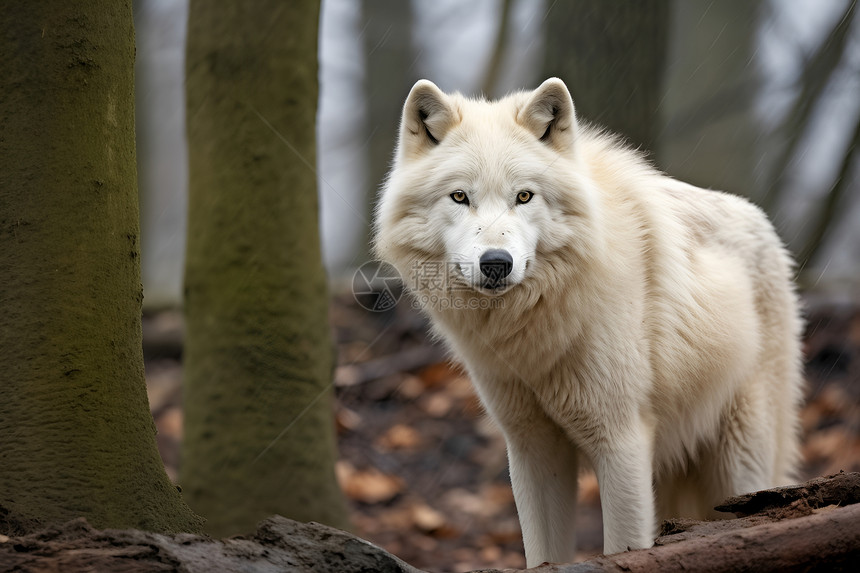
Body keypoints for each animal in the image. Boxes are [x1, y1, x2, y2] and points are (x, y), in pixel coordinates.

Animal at [372, 78, 804, 564]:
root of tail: (765, 225)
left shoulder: (621, 440)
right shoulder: (532, 446)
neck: (532, 336)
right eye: (460, 196)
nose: (497, 263)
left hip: (740, 460)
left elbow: (624, 546)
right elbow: (543, 554)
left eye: (524, 196)